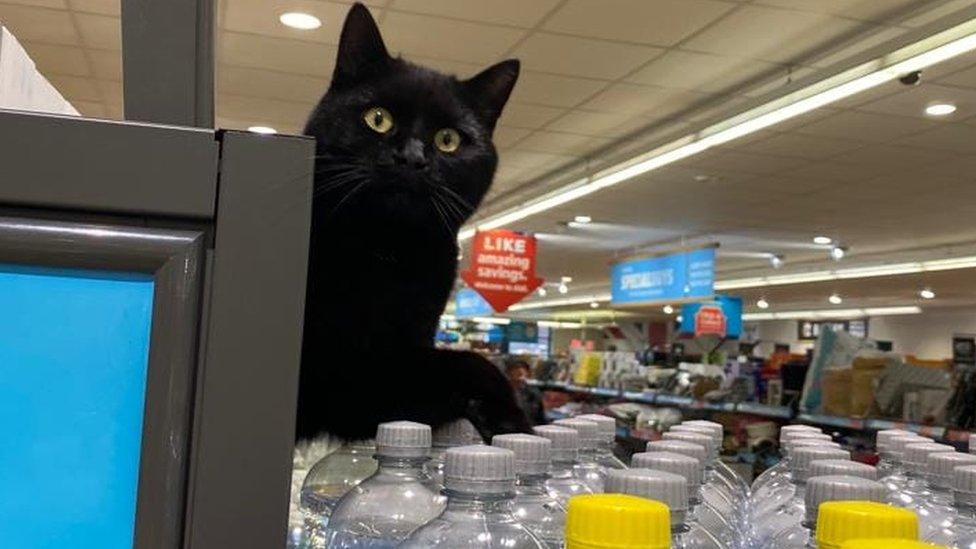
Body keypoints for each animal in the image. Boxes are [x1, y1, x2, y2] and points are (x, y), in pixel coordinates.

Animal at [296, 4, 528, 440]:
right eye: (378, 118)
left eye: (448, 140)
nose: (412, 158)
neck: (388, 253)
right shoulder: (339, 372)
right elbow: (472, 363)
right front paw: (512, 419)